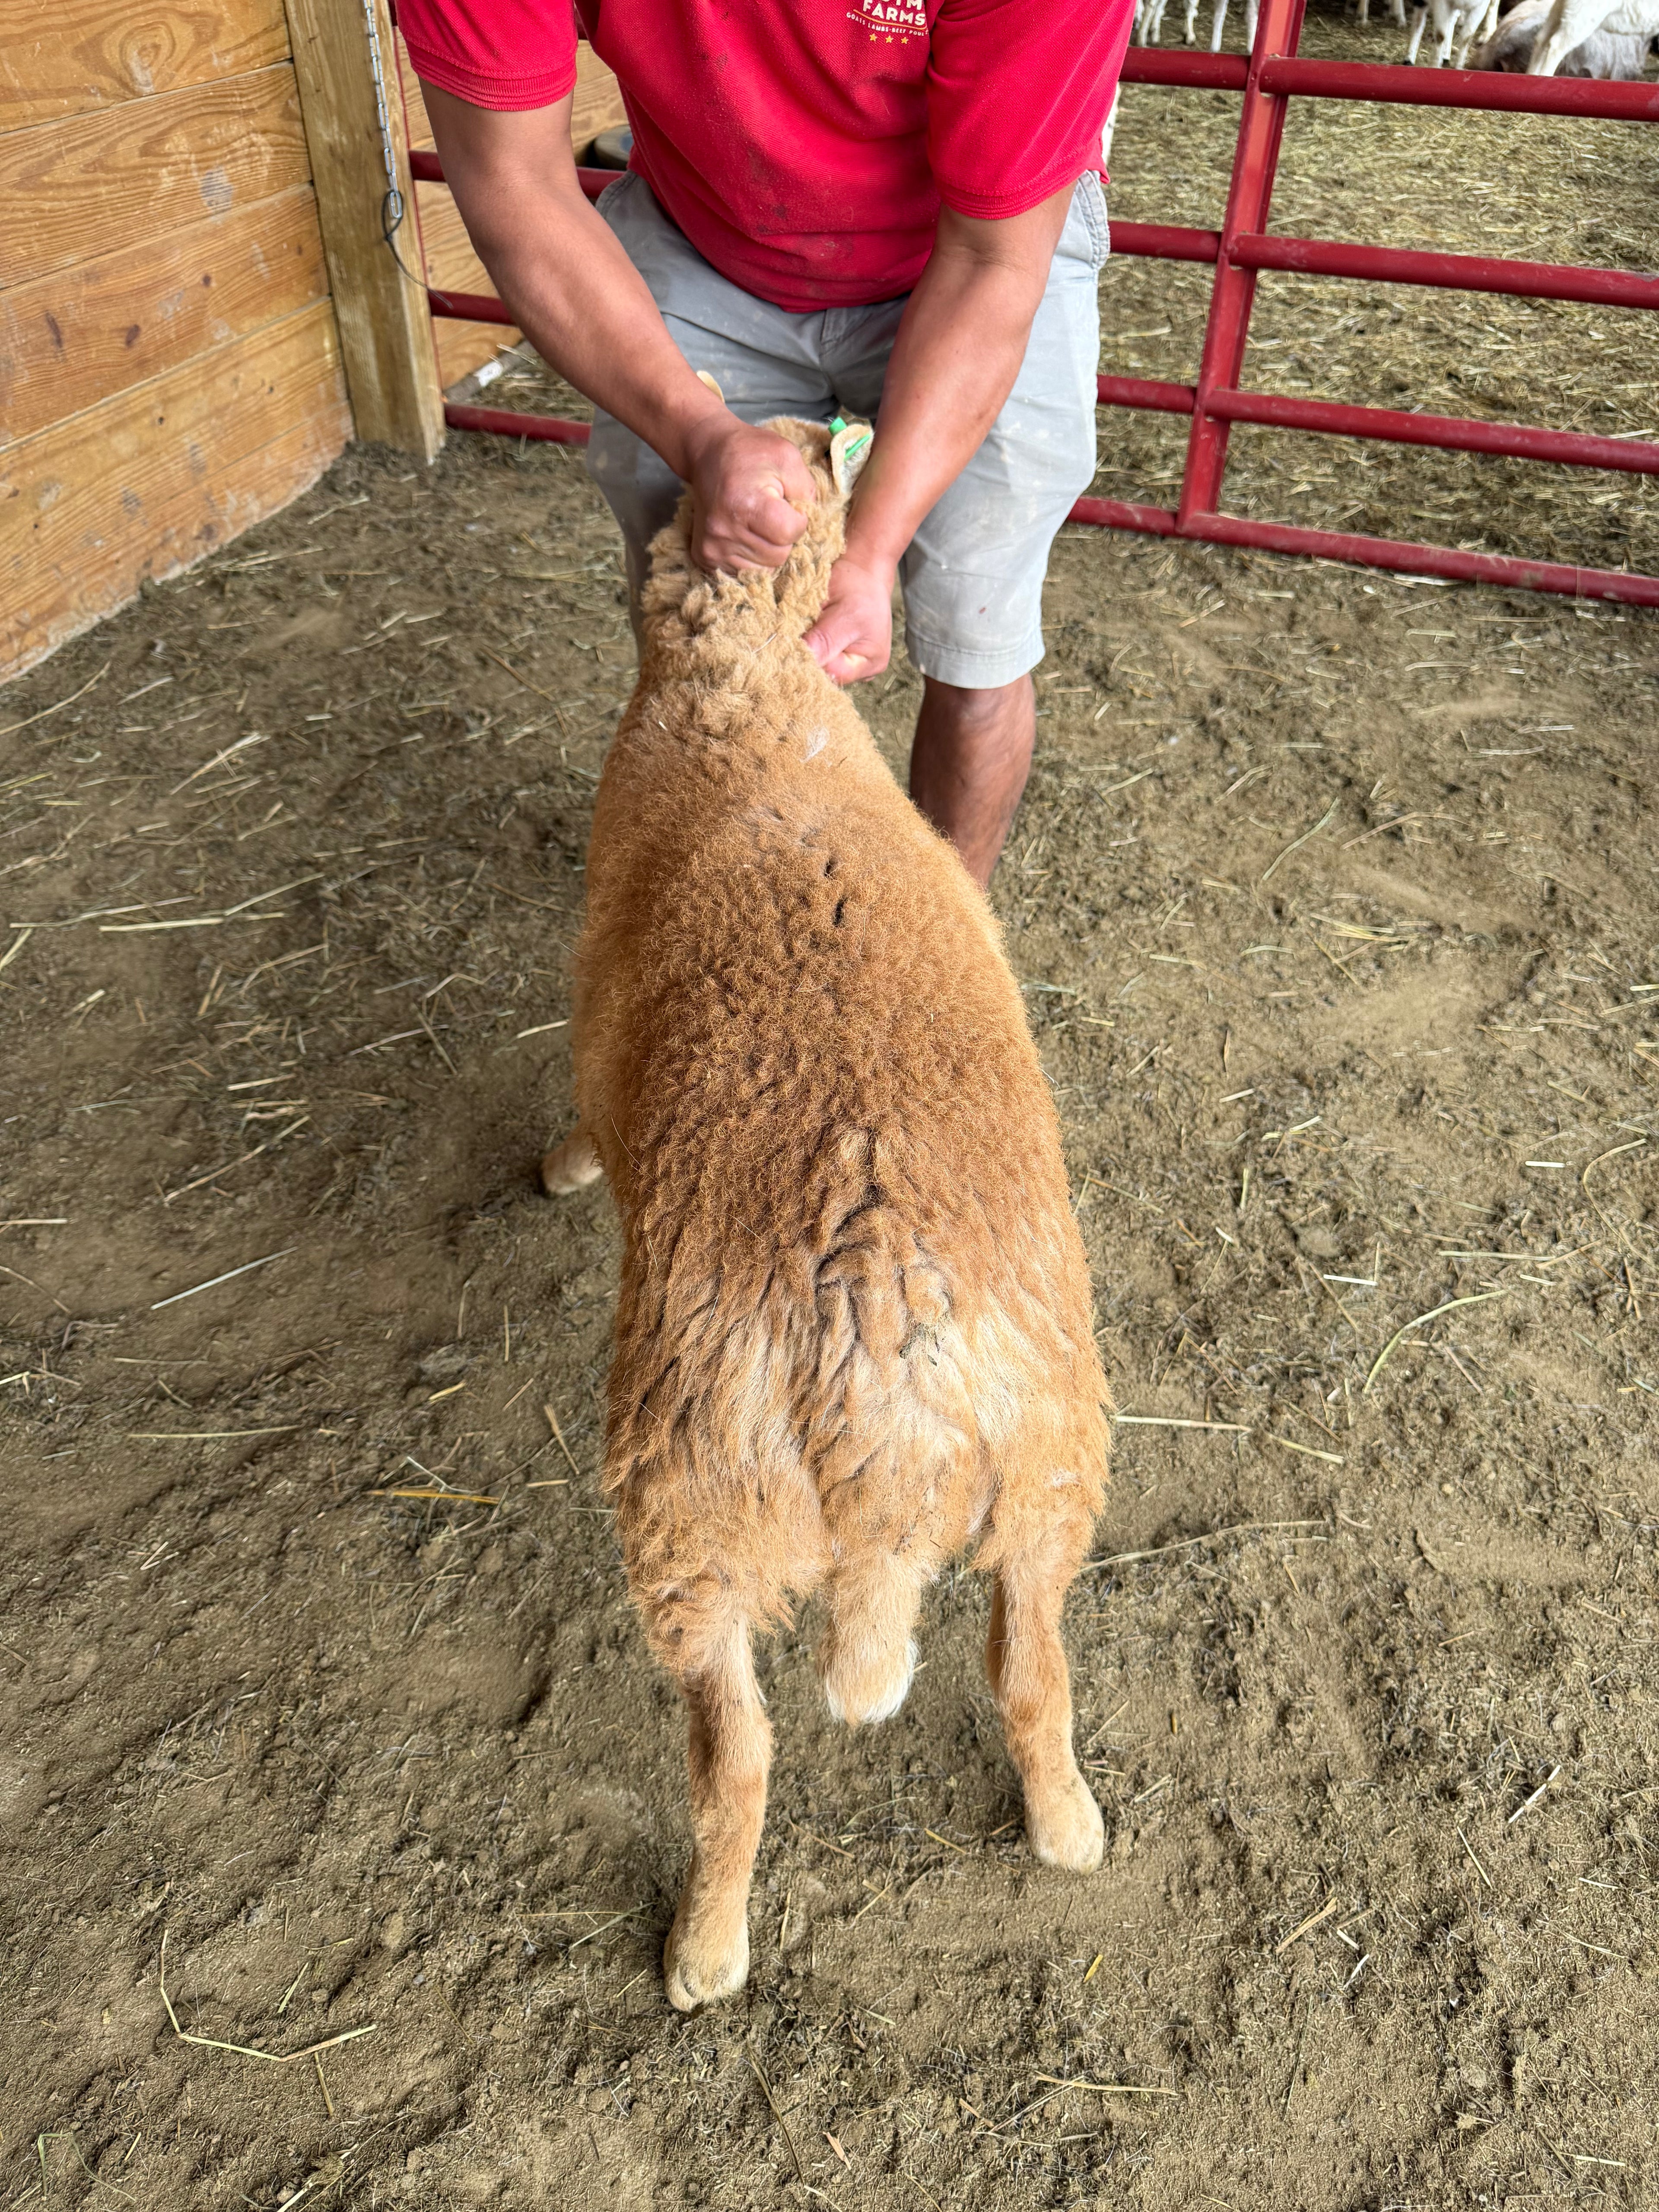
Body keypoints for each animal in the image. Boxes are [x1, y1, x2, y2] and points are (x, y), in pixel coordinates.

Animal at [540, 416, 1113, 2012]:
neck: (750, 695)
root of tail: (882, 1344)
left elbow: (575, 1115)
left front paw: (559, 1173)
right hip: (1053, 1457)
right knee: (1031, 1673)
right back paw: (1069, 1828)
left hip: (688, 1506)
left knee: (735, 1758)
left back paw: (705, 1949)